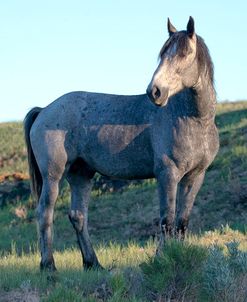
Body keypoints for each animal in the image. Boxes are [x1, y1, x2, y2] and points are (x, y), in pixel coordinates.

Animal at [24, 17, 218, 270]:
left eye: (184, 54)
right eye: (163, 54)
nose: (155, 91)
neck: (192, 118)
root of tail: (44, 109)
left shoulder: (195, 176)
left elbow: (182, 222)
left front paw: (180, 256)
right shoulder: (168, 174)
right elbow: (166, 219)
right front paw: (162, 258)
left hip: (81, 174)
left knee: (78, 216)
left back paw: (92, 263)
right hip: (53, 176)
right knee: (45, 214)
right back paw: (49, 267)